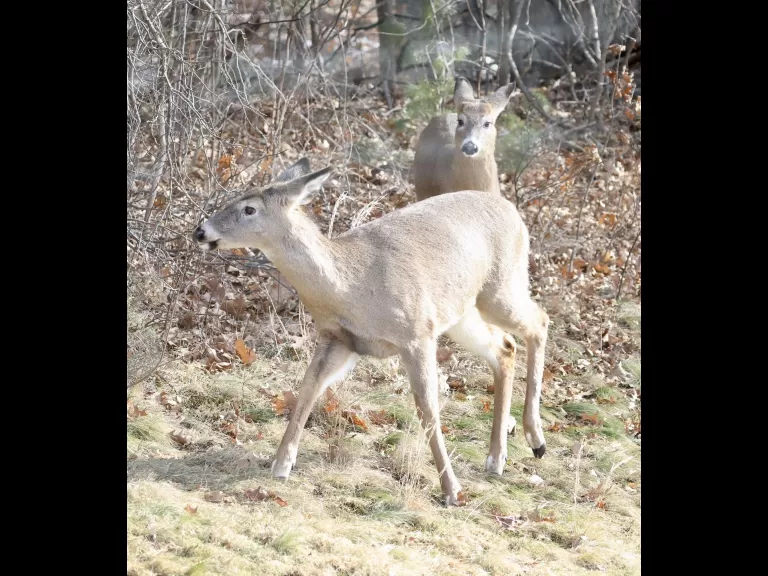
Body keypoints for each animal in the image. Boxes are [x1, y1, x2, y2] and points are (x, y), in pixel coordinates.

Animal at [193, 158, 549, 506]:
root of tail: (512, 211)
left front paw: (452, 490)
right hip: (462, 313)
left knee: (539, 321)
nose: (200, 231)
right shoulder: (339, 340)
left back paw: (535, 439)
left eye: (249, 208)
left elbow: (427, 409)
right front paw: (281, 464)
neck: (351, 287)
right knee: (505, 347)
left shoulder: (416, 334)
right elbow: (307, 390)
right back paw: (497, 458)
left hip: (499, 288)